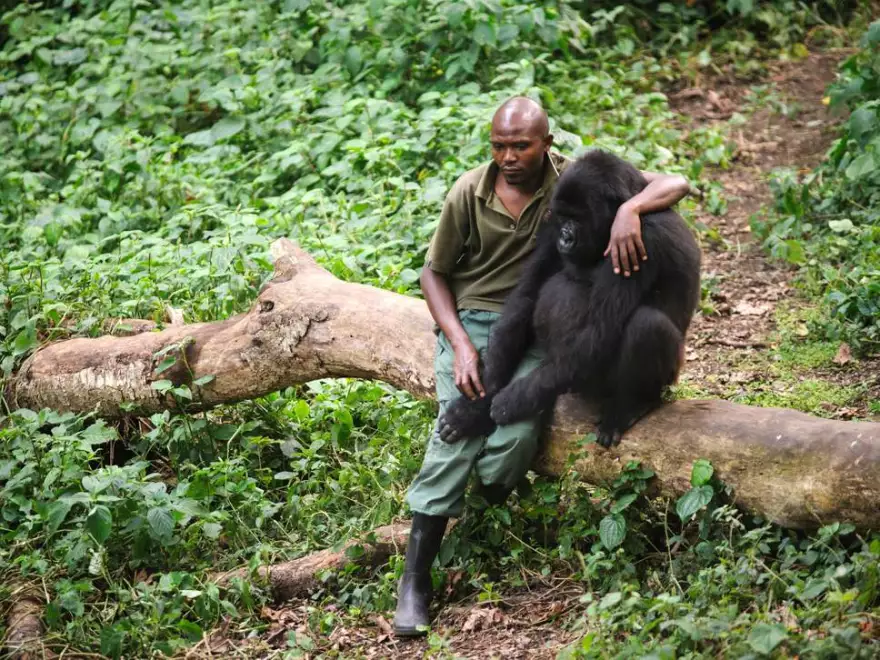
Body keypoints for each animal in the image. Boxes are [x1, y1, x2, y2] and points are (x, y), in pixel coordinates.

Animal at [438, 150, 700, 448]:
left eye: (578, 218)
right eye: (563, 218)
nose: (565, 237)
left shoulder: (639, 234)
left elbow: (599, 330)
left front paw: (512, 401)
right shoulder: (550, 221)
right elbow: (526, 297)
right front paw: (476, 407)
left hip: (665, 379)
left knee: (647, 324)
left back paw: (631, 405)